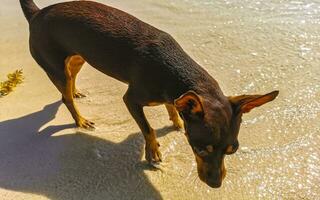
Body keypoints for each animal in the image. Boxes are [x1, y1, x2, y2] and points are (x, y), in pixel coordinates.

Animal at [19, 0, 278, 188]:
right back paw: (80, 119)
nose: (215, 184)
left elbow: (172, 106)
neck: (175, 69)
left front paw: (176, 123)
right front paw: (152, 153)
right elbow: (148, 128)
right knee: (65, 97)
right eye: (200, 149)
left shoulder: (171, 96)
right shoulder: (131, 100)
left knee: (70, 79)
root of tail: (37, 14)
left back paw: (77, 91)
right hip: (53, 64)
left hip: (78, 57)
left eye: (232, 150)